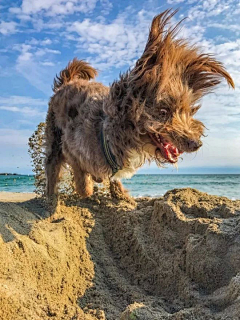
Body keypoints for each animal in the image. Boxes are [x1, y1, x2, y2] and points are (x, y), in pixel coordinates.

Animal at [44, 9, 233, 200]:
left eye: (187, 111)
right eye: (163, 111)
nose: (196, 143)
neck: (109, 130)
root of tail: (68, 82)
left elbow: (112, 179)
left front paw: (121, 195)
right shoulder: (71, 150)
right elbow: (83, 184)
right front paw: (89, 191)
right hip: (54, 140)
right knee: (52, 168)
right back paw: (50, 197)